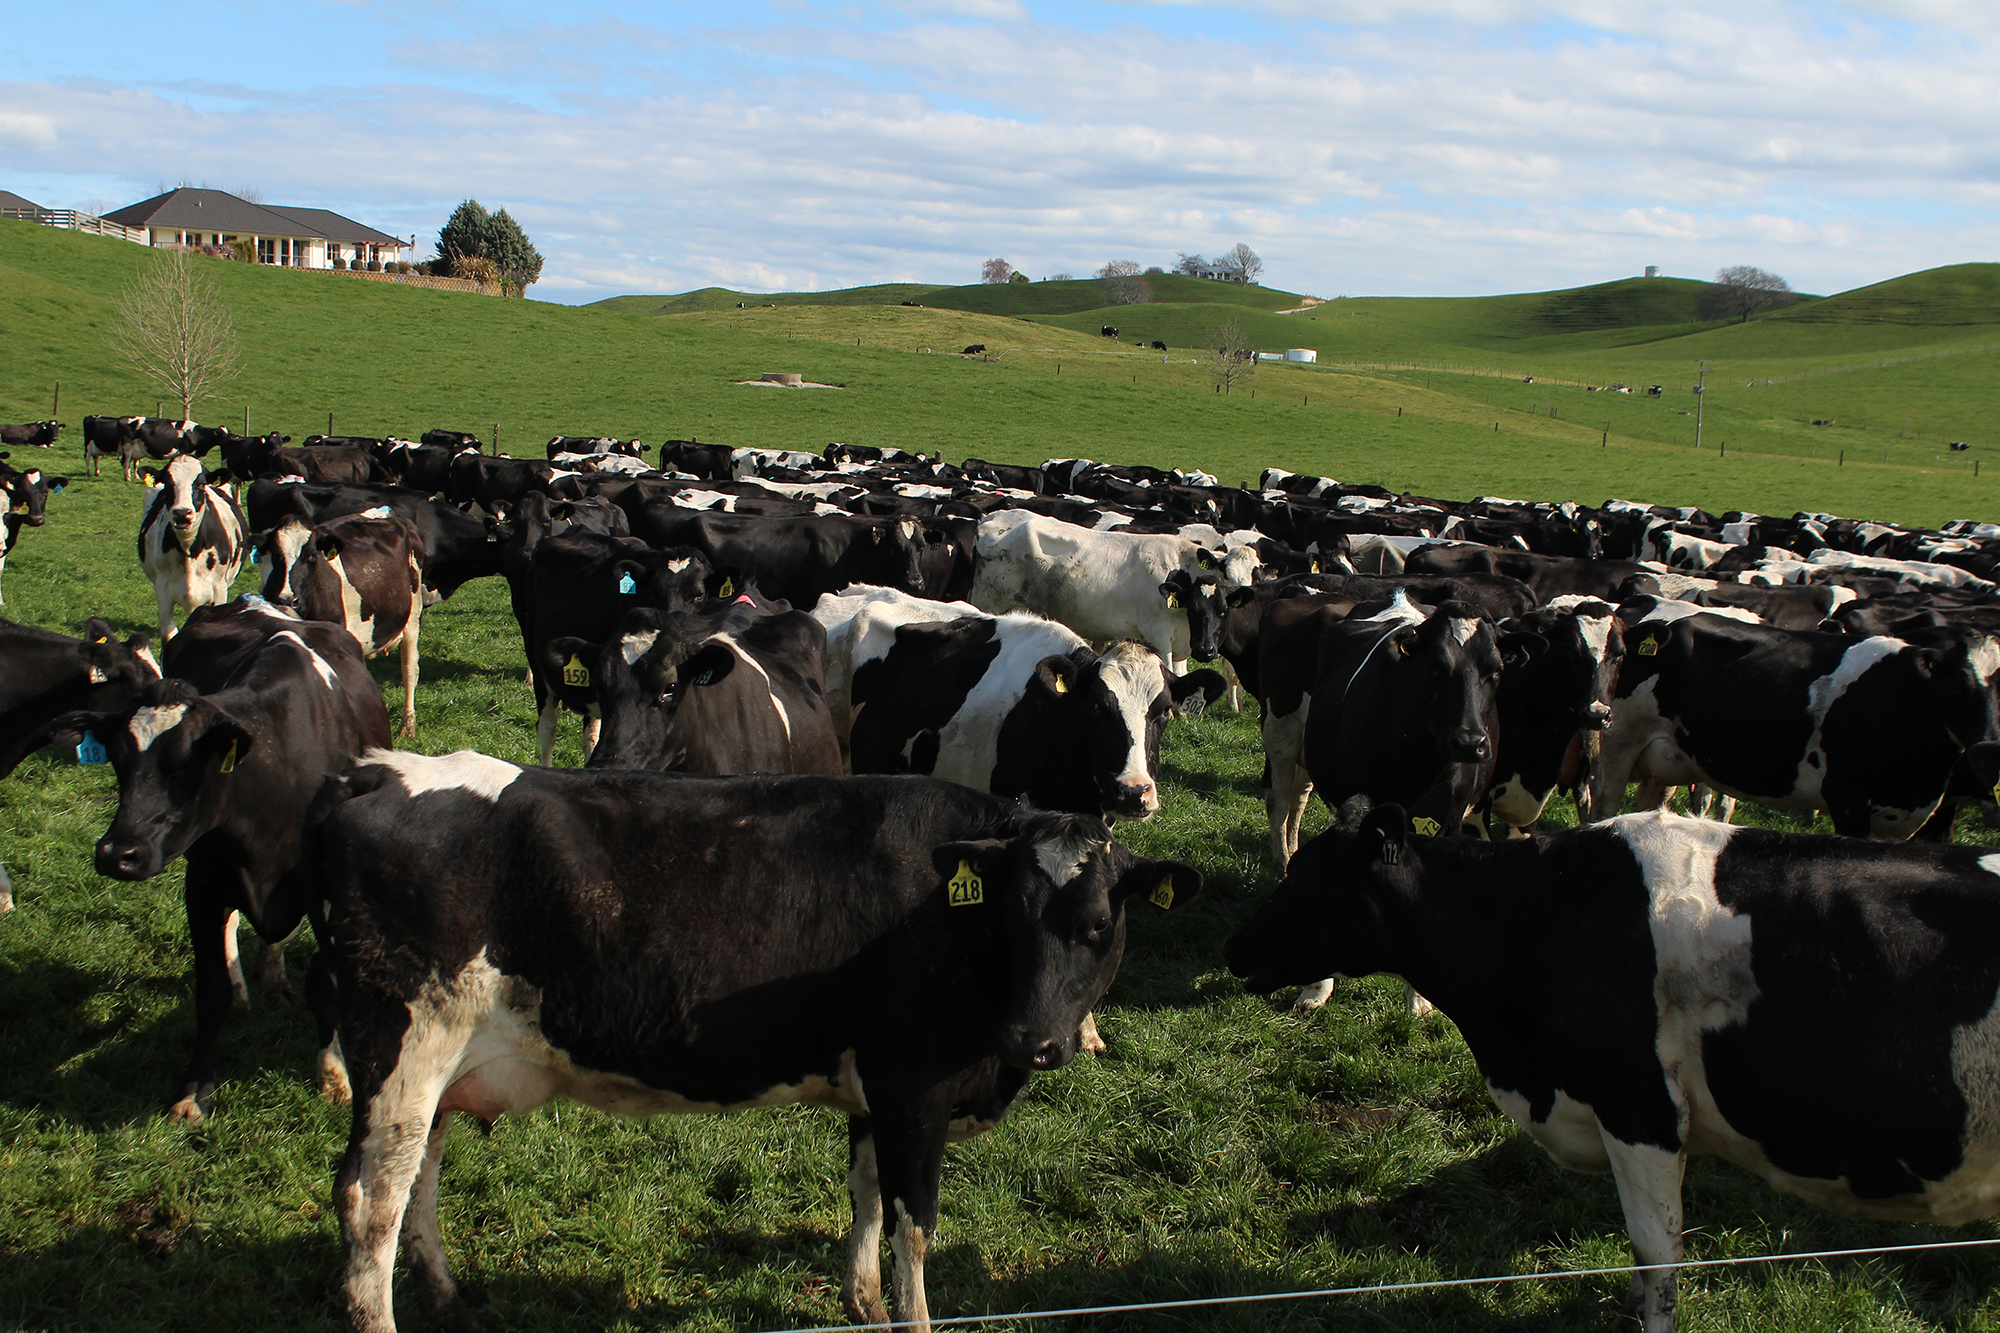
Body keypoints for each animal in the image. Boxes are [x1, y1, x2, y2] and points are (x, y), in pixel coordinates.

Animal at [48, 596, 390, 1112]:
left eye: (187, 765)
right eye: (118, 761)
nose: (116, 854)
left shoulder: (328, 890)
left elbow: (325, 982)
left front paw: (333, 1076)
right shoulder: (204, 883)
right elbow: (210, 992)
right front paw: (194, 1092)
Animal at [139, 454, 248, 636]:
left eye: (200, 484)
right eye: (168, 483)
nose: (182, 513)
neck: (189, 550)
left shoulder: (219, 589)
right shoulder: (162, 591)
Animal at [254, 508, 426, 736]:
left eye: (312, 556)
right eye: (275, 555)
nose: (286, 599)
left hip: (413, 616)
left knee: (410, 668)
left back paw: (408, 726)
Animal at [322, 756, 1200, 1328]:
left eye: (1098, 924)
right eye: (1010, 916)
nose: (1033, 1039)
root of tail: (377, 772)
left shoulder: (873, 1084)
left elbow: (864, 1192)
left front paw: (862, 1303)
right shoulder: (914, 1088)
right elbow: (914, 1223)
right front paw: (903, 1314)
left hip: (440, 1071)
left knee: (418, 1182)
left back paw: (448, 1301)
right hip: (401, 1055)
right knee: (372, 1204)